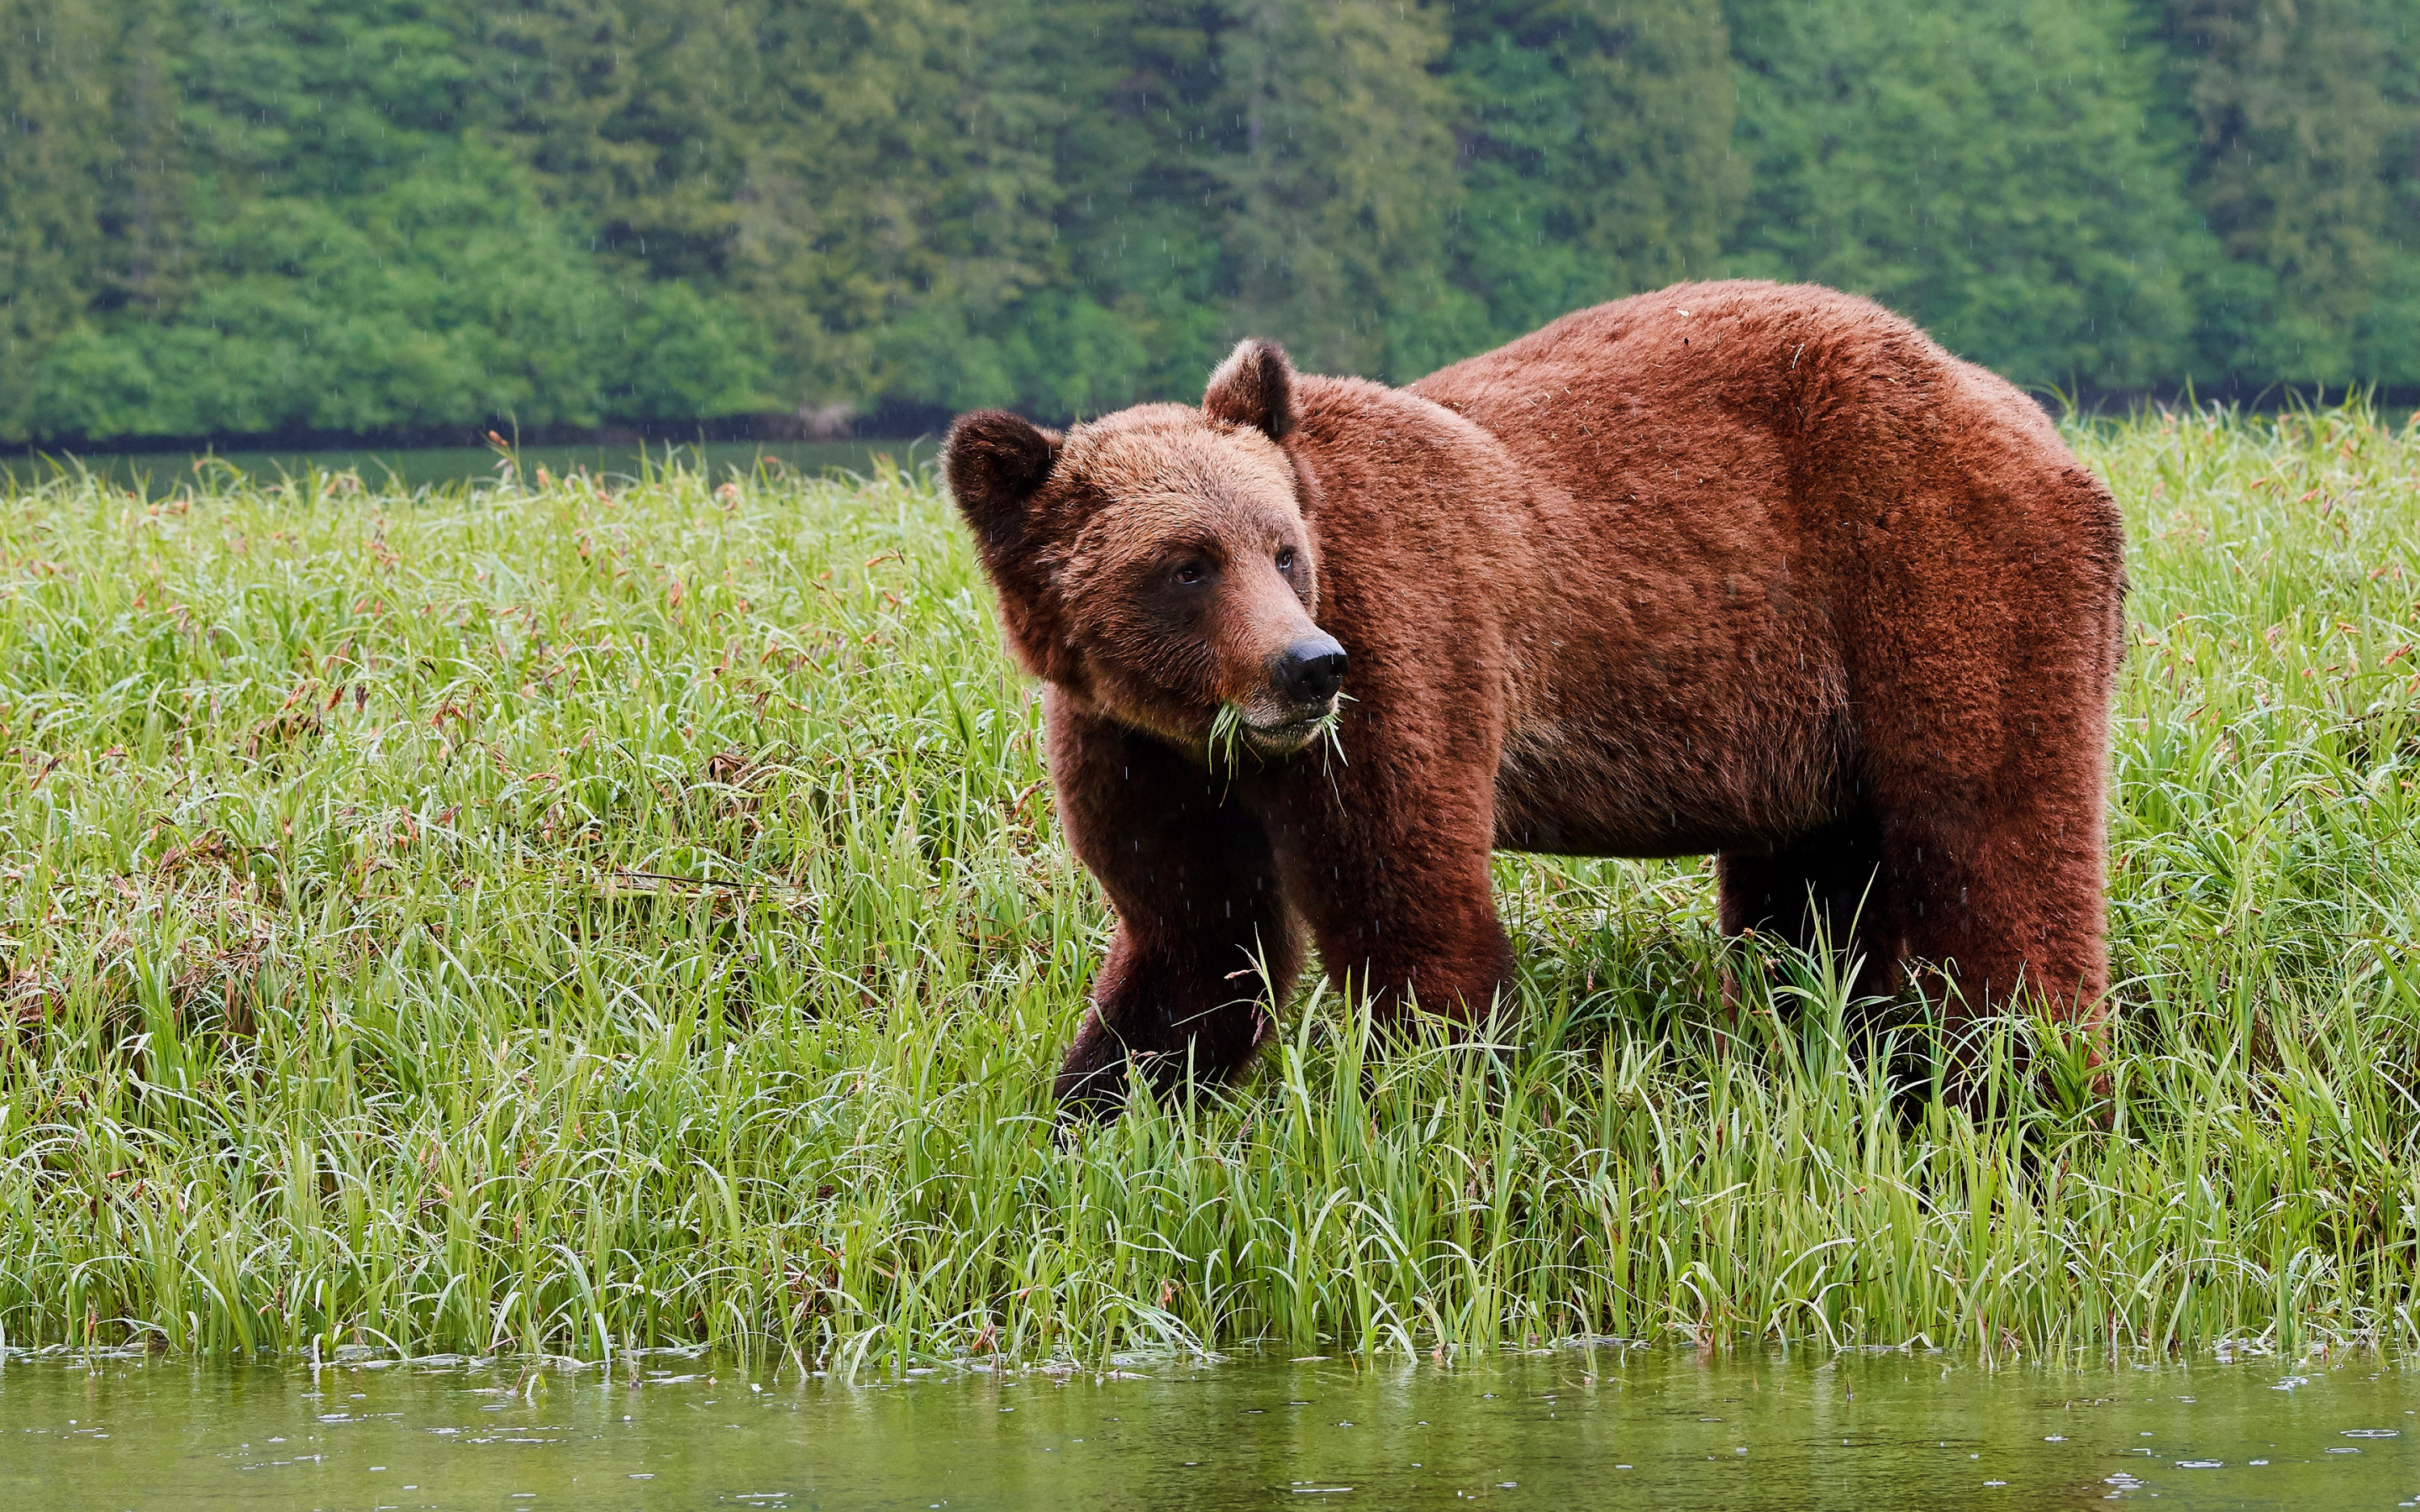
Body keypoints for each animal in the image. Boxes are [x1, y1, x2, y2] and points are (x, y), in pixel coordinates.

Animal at [939, 281, 2119, 1108]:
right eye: (1186, 565)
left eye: (1282, 550)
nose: (1308, 666)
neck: (1209, 729)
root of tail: (2029, 417)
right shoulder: (1141, 755)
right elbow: (1193, 945)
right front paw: (1094, 1113)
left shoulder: (1405, 650)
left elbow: (1410, 911)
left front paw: (1438, 1103)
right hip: (1804, 725)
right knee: (1809, 912)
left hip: (1934, 581)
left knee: (1992, 850)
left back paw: (2031, 1090)